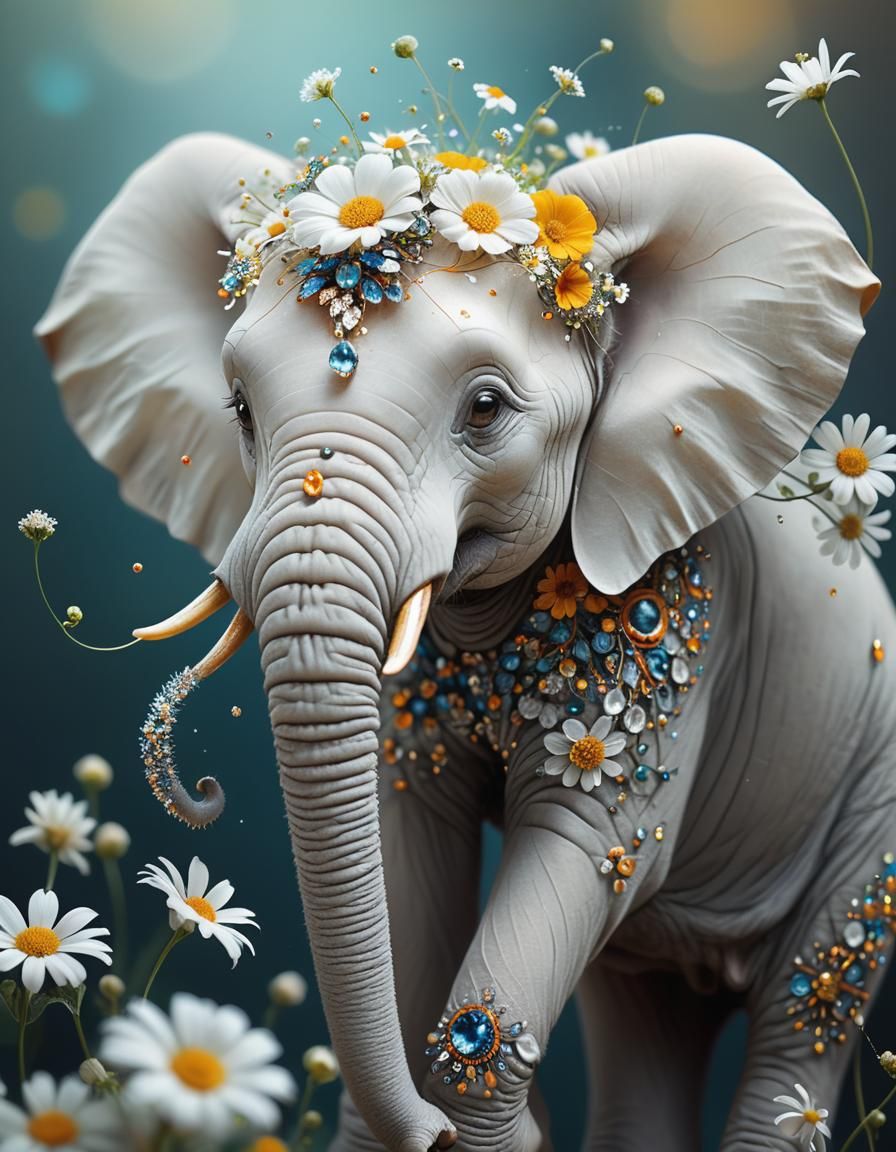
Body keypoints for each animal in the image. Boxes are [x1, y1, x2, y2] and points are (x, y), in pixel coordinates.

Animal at [35, 129, 894, 1151]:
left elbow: (593, 836)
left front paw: (481, 1115)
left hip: (872, 797)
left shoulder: (688, 612)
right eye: (239, 410)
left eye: (485, 410)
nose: (203, 792)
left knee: (813, 999)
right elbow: (411, 834)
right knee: (642, 1008)